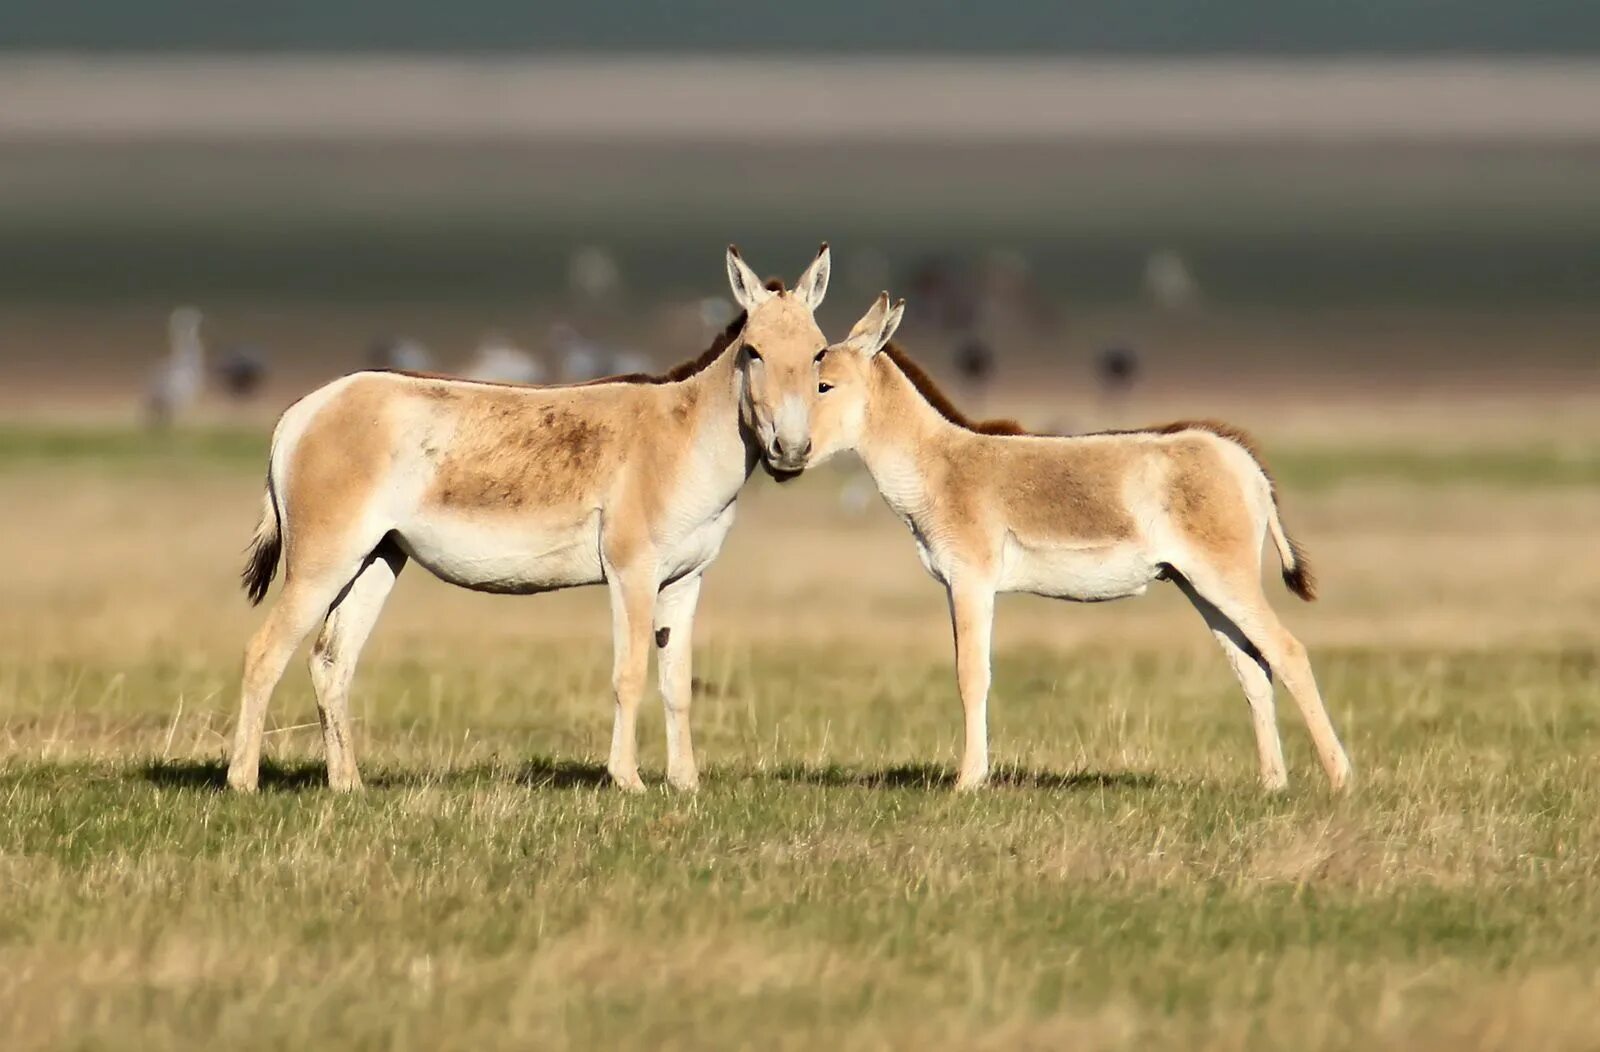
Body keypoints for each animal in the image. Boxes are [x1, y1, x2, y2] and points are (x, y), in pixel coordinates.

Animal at [233, 243, 838, 786]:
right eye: (754, 352)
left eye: (818, 354)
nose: (790, 450)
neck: (681, 438)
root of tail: (302, 410)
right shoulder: (632, 573)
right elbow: (629, 674)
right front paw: (628, 781)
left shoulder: (686, 579)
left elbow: (678, 684)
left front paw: (685, 784)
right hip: (323, 562)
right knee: (264, 653)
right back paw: (244, 782)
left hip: (377, 558)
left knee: (331, 662)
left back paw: (348, 786)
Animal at [812, 292, 1350, 786]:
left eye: (822, 384)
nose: (793, 453)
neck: (938, 465)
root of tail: (1242, 459)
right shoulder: (955, 586)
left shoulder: (971, 582)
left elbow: (972, 675)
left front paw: (968, 782)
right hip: (1198, 585)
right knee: (1253, 668)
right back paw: (1273, 784)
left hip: (1224, 579)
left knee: (1288, 653)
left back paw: (1339, 778)